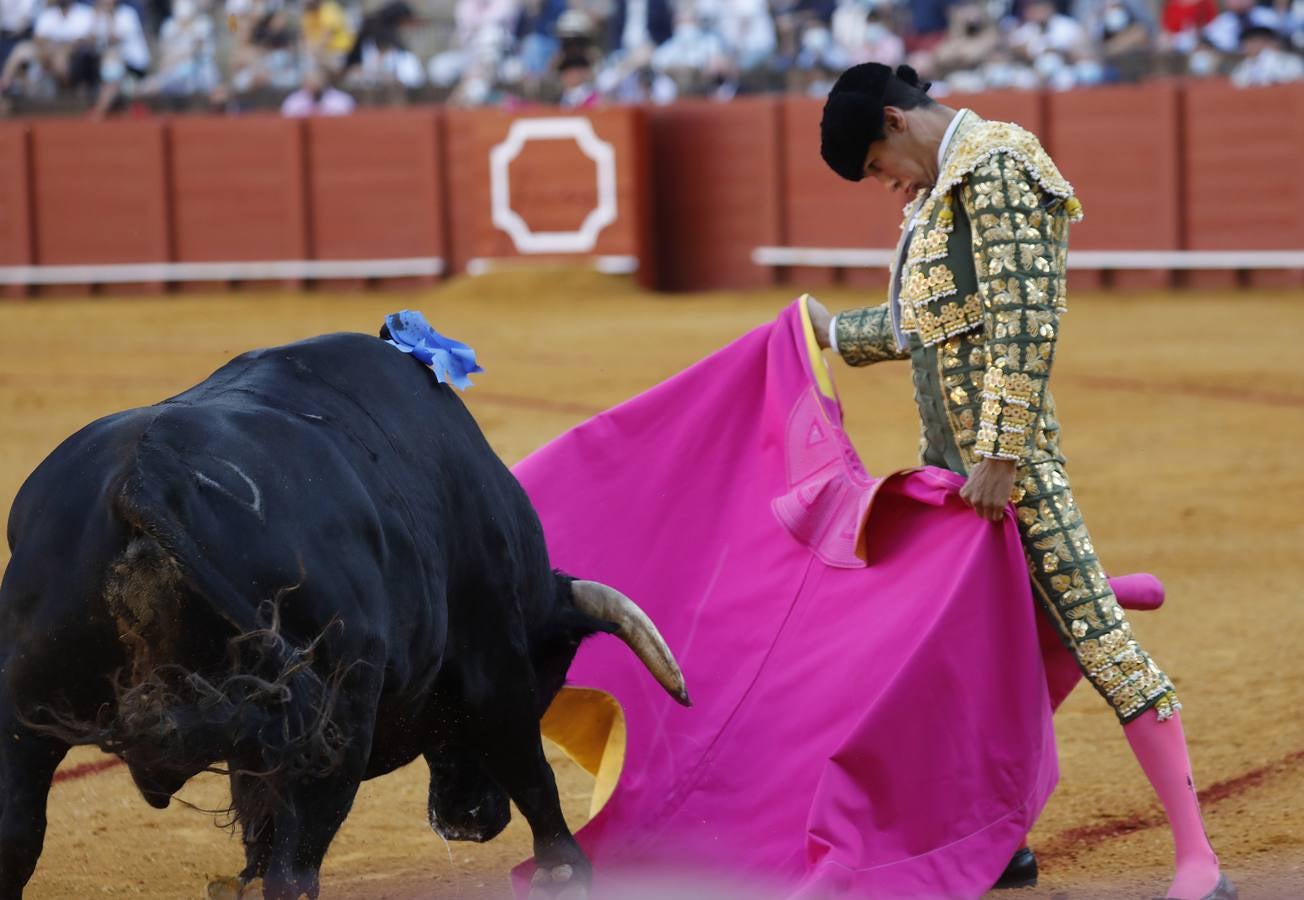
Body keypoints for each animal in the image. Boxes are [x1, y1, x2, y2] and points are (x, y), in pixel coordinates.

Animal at [0, 331, 693, 897]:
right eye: (553, 677)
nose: (471, 820)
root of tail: (143, 479)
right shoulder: (494, 656)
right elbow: (527, 762)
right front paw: (563, 870)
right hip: (335, 730)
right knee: (294, 870)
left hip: (25, 710)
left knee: (19, 837)